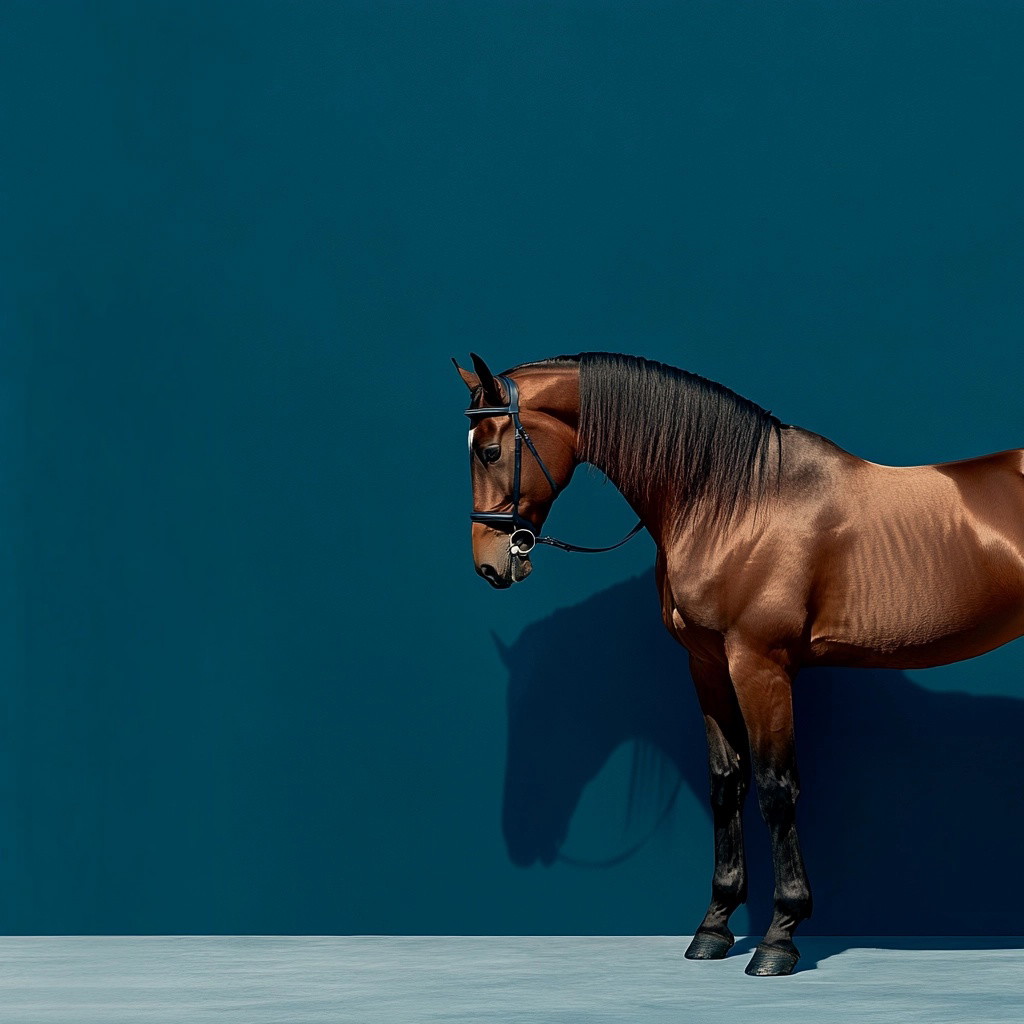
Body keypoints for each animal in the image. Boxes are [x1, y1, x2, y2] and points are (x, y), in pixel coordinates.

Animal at [456, 352, 1024, 974]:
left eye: (490, 450)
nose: (490, 564)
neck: (738, 502)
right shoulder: (706, 665)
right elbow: (727, 783)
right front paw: (714, 927)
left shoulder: (760, 666)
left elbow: (776, 788)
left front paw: (780, 937)